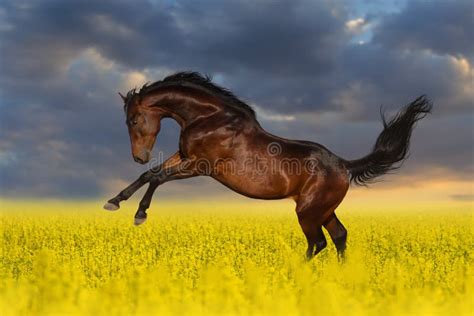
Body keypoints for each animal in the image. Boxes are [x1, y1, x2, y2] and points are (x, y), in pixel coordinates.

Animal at [104, 71, 434, 260]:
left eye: (133, 121)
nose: (139, 155)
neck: (210, 118)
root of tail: (343, 165)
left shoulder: (200, 165)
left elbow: (157, 178)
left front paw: (139, 215)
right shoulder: (184, 156)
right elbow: (149, 174)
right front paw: (114, 202)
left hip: (308, 212)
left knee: (318, 243)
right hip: (323, 210)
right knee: (339, 236)